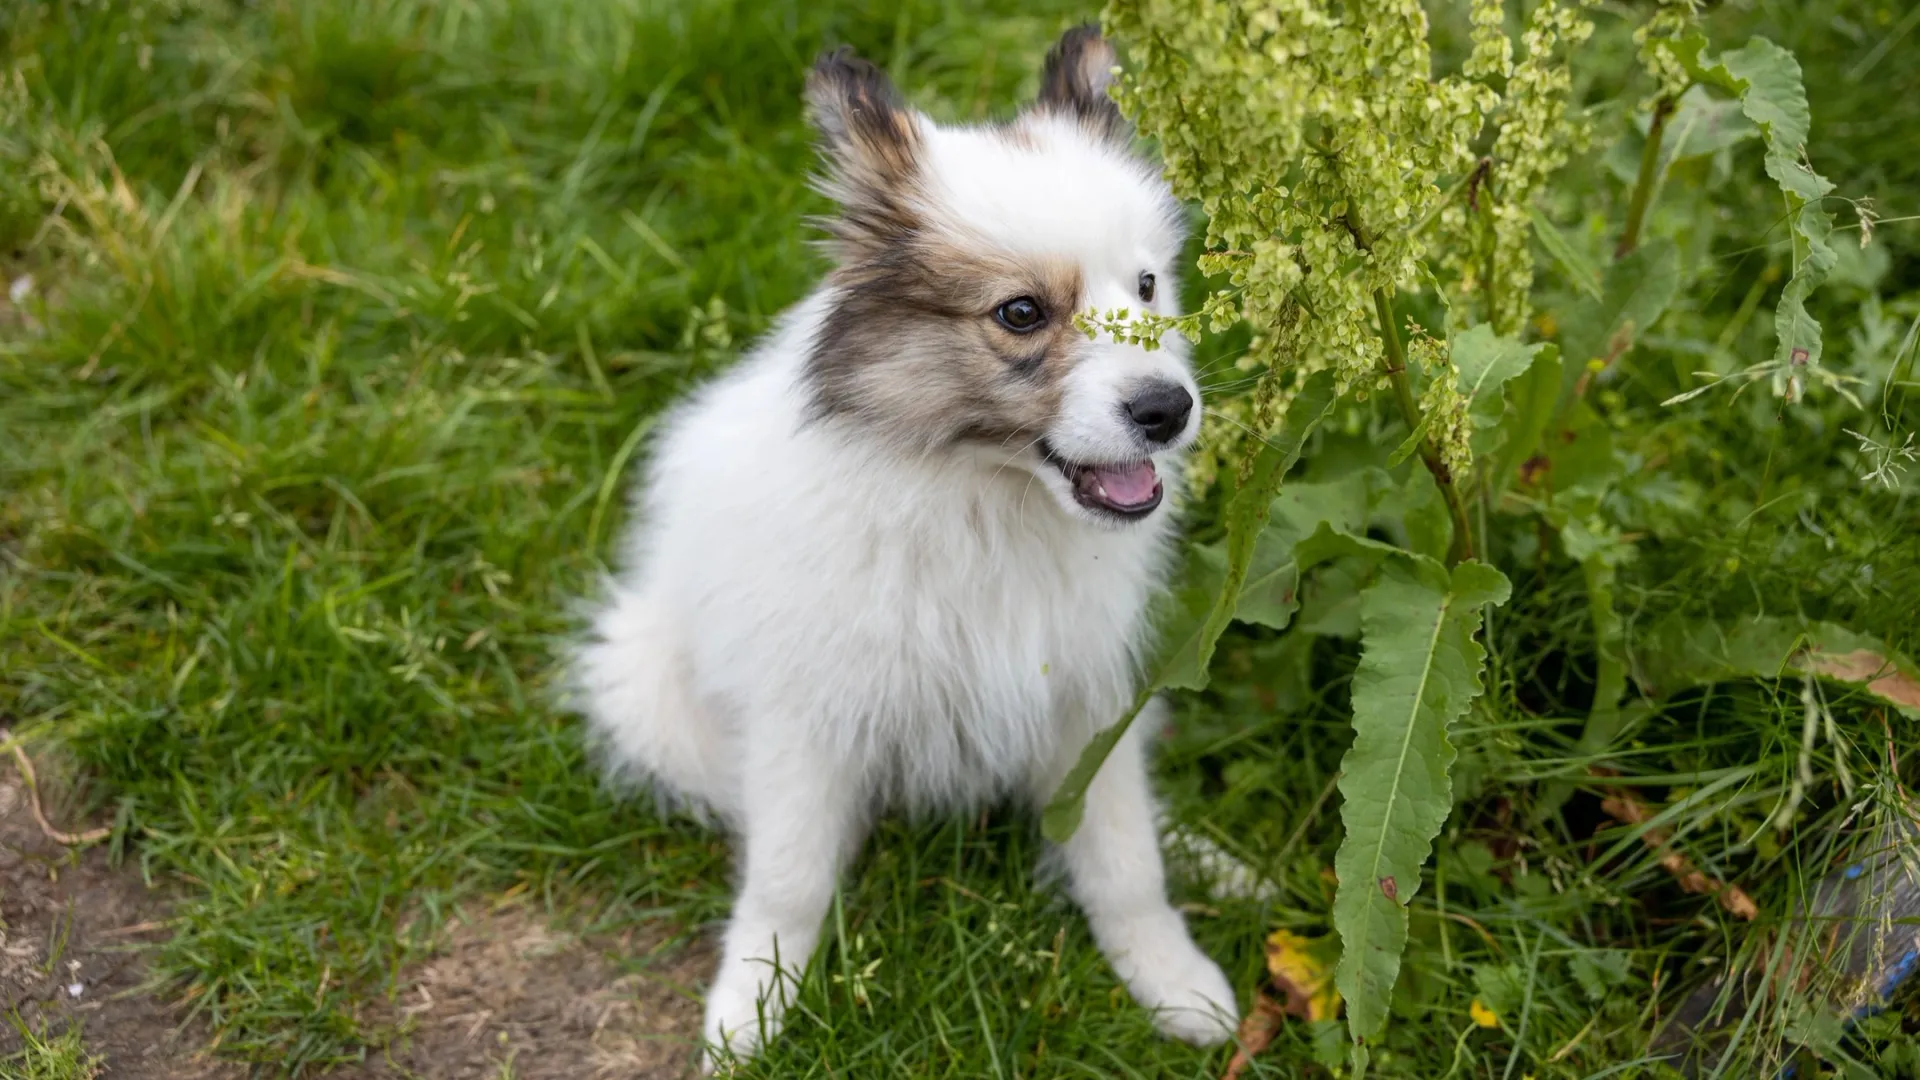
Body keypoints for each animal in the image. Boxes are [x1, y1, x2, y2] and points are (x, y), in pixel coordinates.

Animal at [560, 29, 1236, 1060]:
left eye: (1149, 285)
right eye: (1021, 313)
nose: (1168, 410)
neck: (981, 498)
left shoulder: (1089, 692)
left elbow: (1123, 853)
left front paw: (1171, 980)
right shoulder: (805, 715)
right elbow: (788, 876)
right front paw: (751, 1007)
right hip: (644, 689)